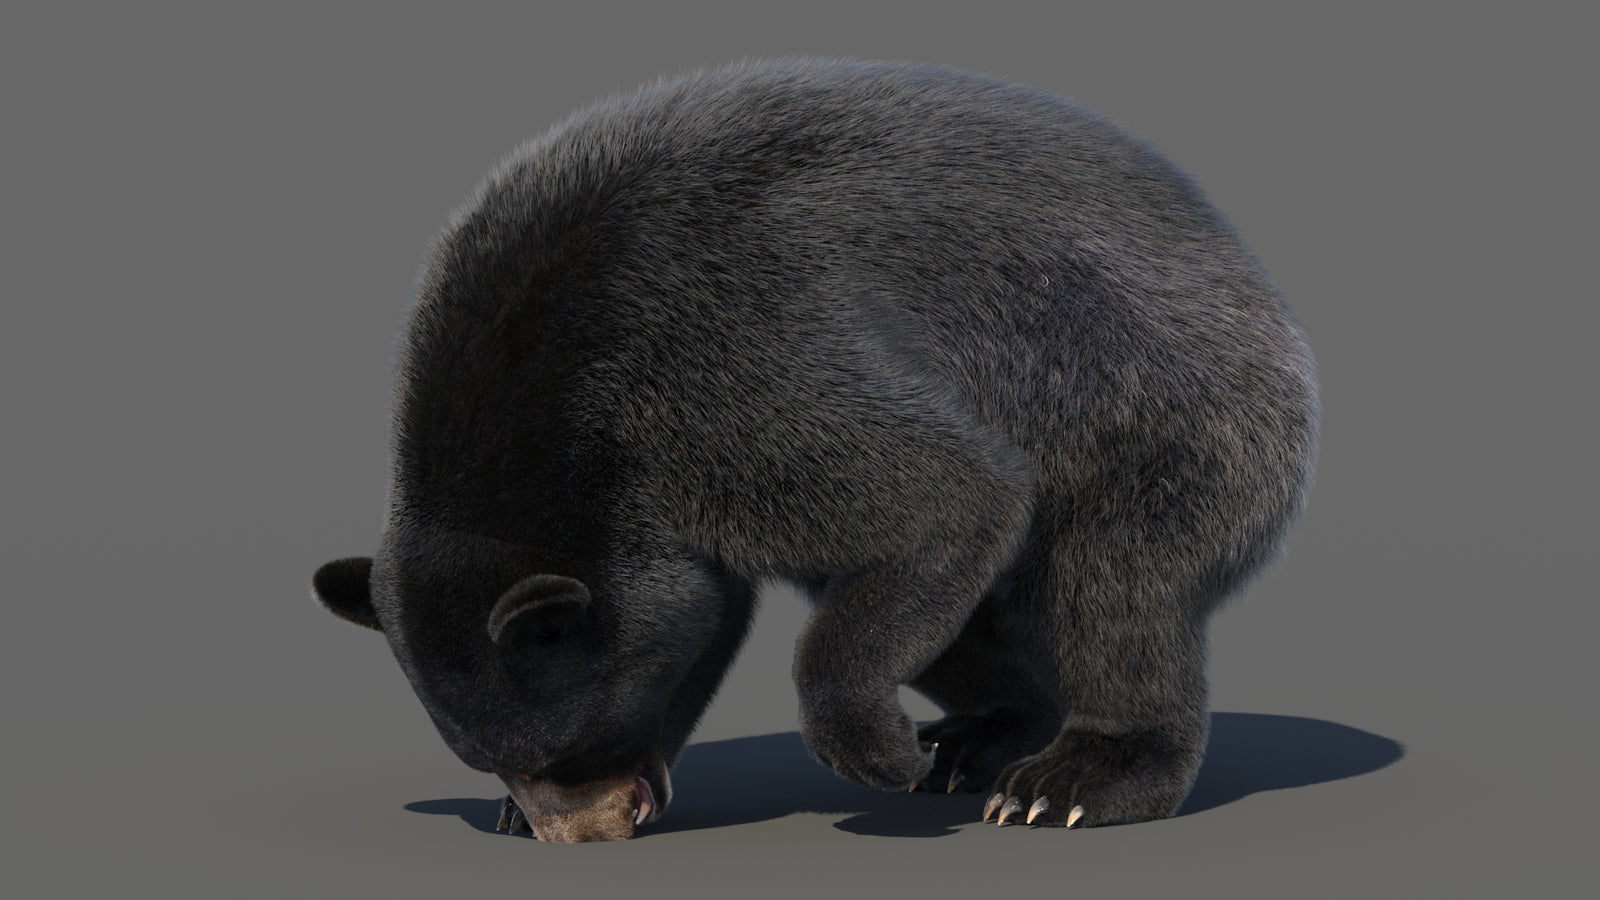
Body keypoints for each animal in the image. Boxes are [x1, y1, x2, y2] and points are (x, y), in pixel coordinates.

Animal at [311, 57, 1318, 843]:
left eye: (563, 743)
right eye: (484, 755)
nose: (579, 829)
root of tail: (1254, 275)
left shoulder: (725, 371)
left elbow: (954, 492)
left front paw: (877, 752)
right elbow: (733, 600)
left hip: (1168, 411)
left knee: (1116, 589)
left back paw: (1070, 779)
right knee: (964, 617)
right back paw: (976, 737)